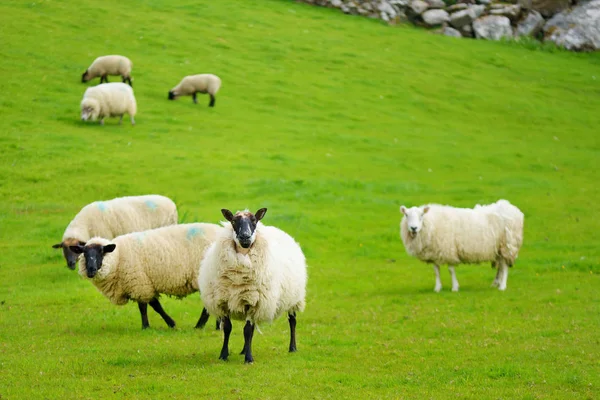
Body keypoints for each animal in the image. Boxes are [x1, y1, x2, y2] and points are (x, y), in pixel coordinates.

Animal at [68, 223, 223, 330]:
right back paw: (216, 326)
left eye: (101, 252)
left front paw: (149, 326)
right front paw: (167, 323)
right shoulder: (144, 283)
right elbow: (153, 305)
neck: (118, 258)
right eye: (84, 253)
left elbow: (147, 307)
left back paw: (199, 326)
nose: (91, 270)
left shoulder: (139, 283)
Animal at [199, 208, 308, 364]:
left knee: (292, 321)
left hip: (294, 298)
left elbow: (247, 331)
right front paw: (224, 355)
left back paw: (292, 347)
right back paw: (244, 350)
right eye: (233, 221)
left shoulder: (253, 302)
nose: (245, 237)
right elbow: (228, 328)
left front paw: (249, 358)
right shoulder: (224, 301)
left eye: (254, 220)